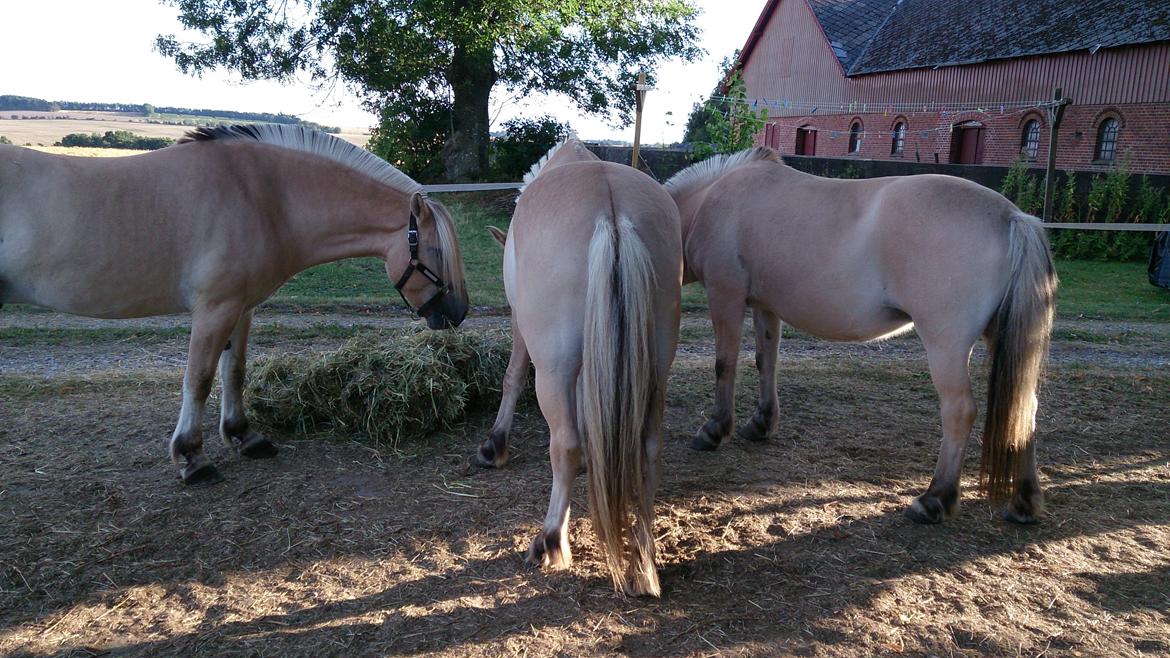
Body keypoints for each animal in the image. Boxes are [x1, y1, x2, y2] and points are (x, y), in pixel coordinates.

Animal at [1, 124, 465, 482]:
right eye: (434, 251)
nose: (458, 313)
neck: (262, 196)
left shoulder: (242, 308)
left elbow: (235, 371)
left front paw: (244, 436)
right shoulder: (215, 309)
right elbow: (199, 379)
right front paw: (192, 458)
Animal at [477, 134, 683, 594]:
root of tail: (612, 209)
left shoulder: (521, 326)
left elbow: (512, 377)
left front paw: (494, 445)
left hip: (553, 367)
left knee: (565, 444)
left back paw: (550, 542)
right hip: (656, 370)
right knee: (651, 449)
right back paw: (644, 563)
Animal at [669, 147, 1062, 522]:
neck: (710, 199)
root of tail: (1012, 217)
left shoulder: (725, 295)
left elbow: (725, 364)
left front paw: (714, 429)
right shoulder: (765, 305)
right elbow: (766, 363)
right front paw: (761, 423)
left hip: (945, 346)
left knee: (960, 411)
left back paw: (934, 500)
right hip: (1004, 341)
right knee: (1025, 408)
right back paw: (1024, 503)